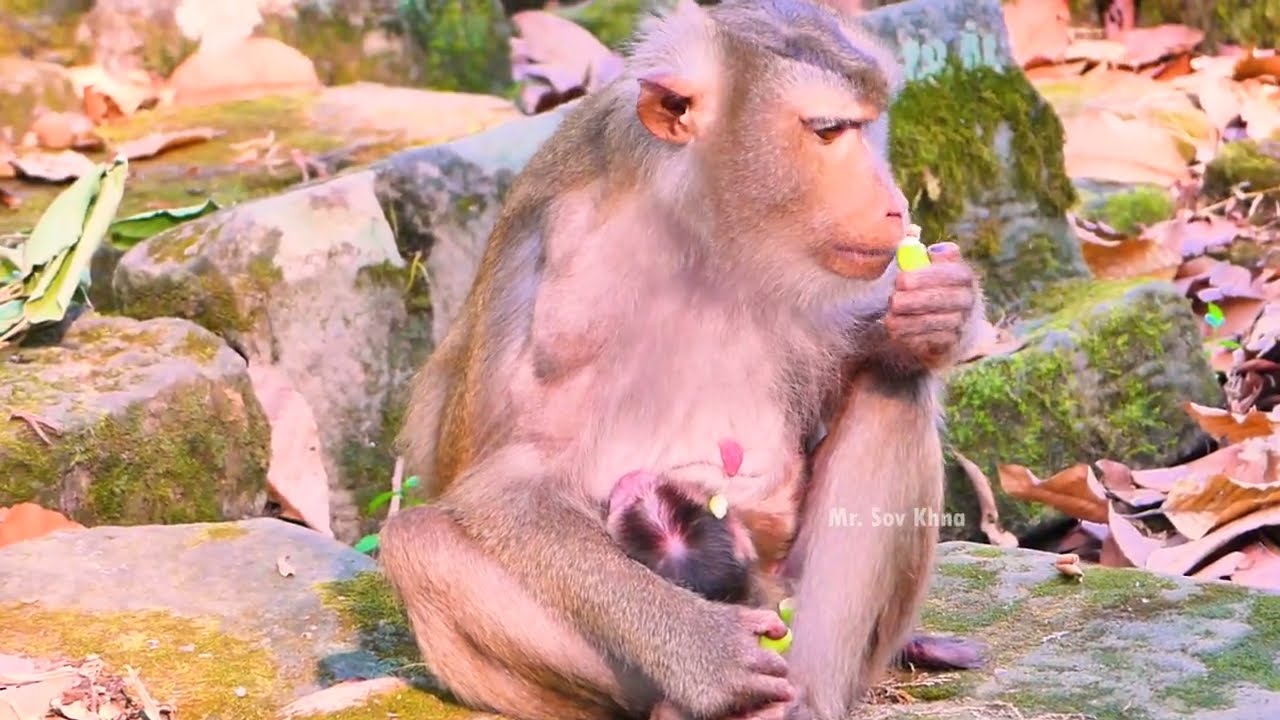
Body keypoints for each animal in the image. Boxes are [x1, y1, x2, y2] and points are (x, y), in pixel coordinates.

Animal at [377, 1, 987, 719]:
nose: (895, 206)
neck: (702, 227)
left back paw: (809, 697)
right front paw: (705, 652)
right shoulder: (566, 277)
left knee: (896, 386)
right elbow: (508, 485)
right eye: (830, 131)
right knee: (419, 545)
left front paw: (941, 312)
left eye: (868, 126)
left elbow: (866, 359)